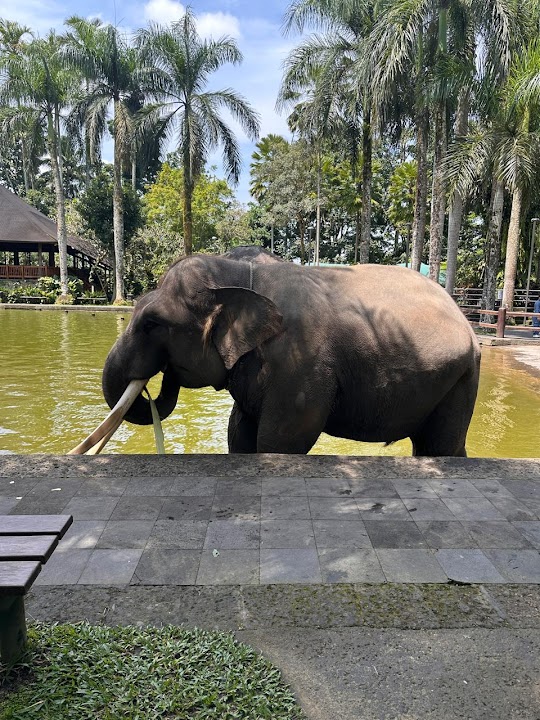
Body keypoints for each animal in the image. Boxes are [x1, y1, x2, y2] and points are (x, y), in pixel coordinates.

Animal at [102, 254, 481, 456]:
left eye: (152, 324)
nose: (159, 378)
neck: (238, 272)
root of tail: (464, 315)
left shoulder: (300, 367)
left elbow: (281, 440)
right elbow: (239, 432)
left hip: (462, 377)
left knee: (440, 445)